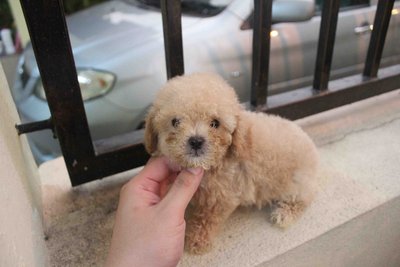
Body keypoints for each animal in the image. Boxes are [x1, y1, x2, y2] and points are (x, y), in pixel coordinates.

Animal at [144, 73, 318, 255]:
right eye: (175, 122)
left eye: (215, 123)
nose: (196, 141)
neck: (213, 164)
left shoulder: (223, 197)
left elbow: (207, 218)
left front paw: (197, 240)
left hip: (297, 184)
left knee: (302, 200)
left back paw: (284, 214)